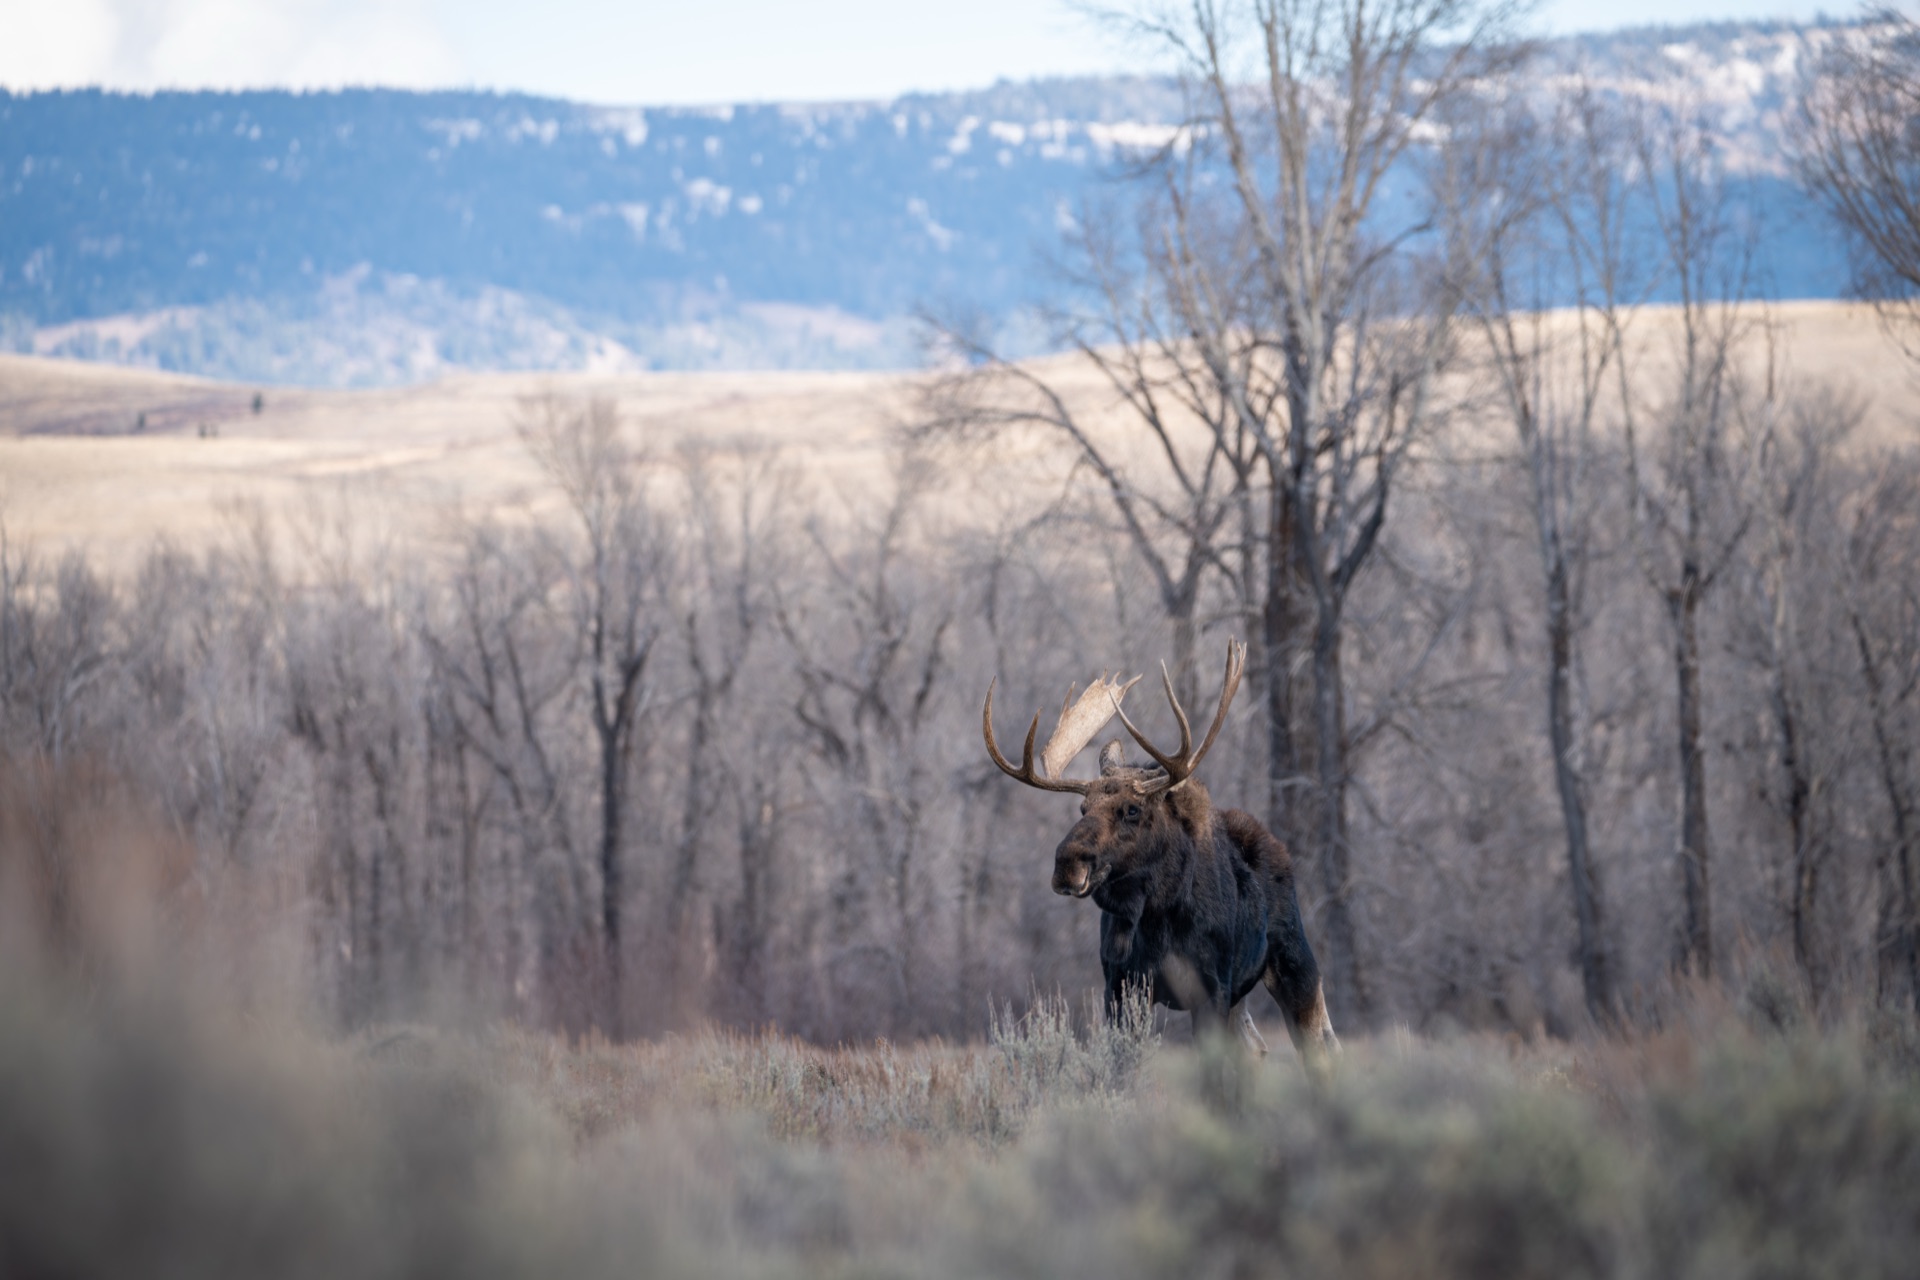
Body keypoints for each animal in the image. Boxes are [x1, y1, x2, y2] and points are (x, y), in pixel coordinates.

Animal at [983, 640, 1337, 1061]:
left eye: (1132, 810)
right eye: (1082, 808)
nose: (1067, 864)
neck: (1157, 916)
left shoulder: (1211, 989)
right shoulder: (1120, 987)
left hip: (1295, 965)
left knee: (1323, 1049)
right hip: (1240, 996)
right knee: (1257, 1048)